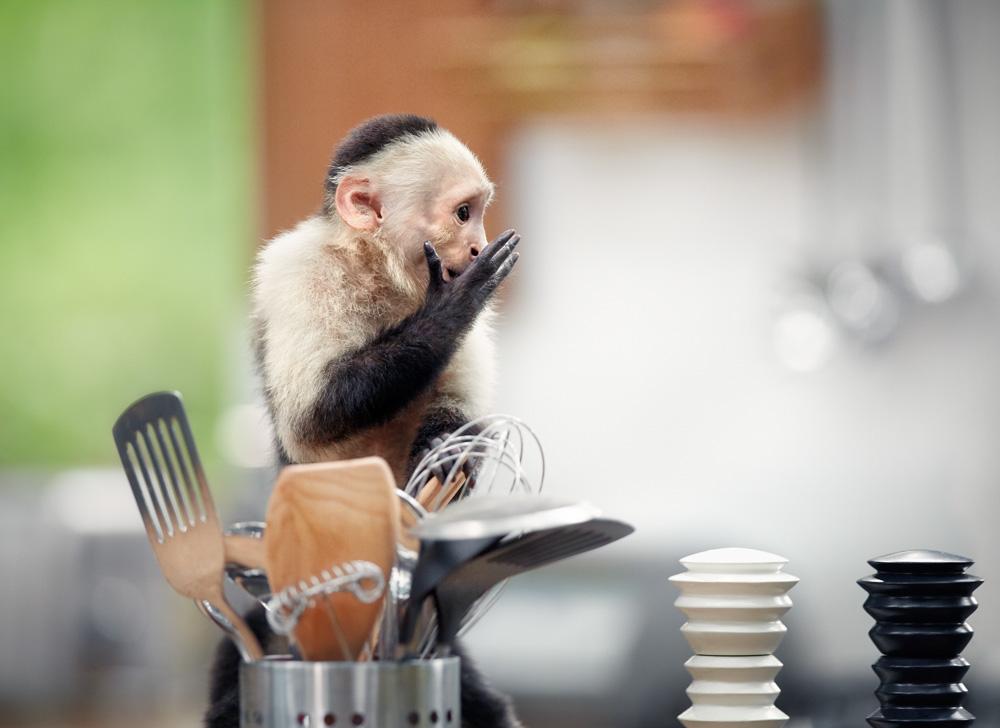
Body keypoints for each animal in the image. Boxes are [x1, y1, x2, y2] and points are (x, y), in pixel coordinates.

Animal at [204, 115, 523, 728]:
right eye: (463, 213)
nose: (476, 245)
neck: (380, 271)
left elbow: (460, 417)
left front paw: (453, 451)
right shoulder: (300, 274)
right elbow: (311, 420)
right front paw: (448, 311)